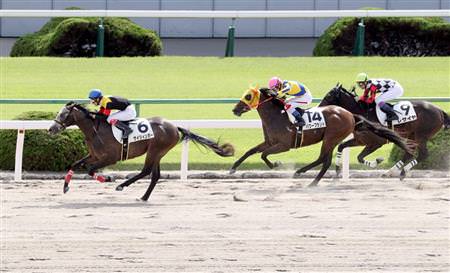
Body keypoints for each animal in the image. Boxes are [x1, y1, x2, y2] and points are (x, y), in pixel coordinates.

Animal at [47, 101, 234, 200]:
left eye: (63, 114)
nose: (51, 129)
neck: (95, 130)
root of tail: (174, 127)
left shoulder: (111, 158)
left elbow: (90, 170)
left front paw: (108, 178)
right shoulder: (94, 155)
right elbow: (76, 164)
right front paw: (65, 187)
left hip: (155, 150)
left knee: (146, 171)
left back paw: (122, 186)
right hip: (158, 152)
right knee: (155, 175)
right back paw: (144, 197)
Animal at [232, 86, 412, 186]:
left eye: (248, 96)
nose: (235, 109)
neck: (277, 116)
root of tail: (350, 114)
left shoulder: (284, 145)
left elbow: (263, 155)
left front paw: (276, 164)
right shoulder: (269, 142)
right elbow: (251, 151)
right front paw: (233, 168)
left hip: (330, 138)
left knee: (324, 160)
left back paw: (305, 176)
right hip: (332, 139)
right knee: (325, 160)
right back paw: (311, 179)